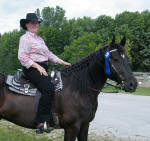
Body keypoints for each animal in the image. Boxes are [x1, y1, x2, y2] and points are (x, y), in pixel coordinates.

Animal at [0, 36, 137, 141]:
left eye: (127, 58)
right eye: (115, 59)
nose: (133, 84)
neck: (78, 89)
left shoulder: (85, 125)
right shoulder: (72, 127)